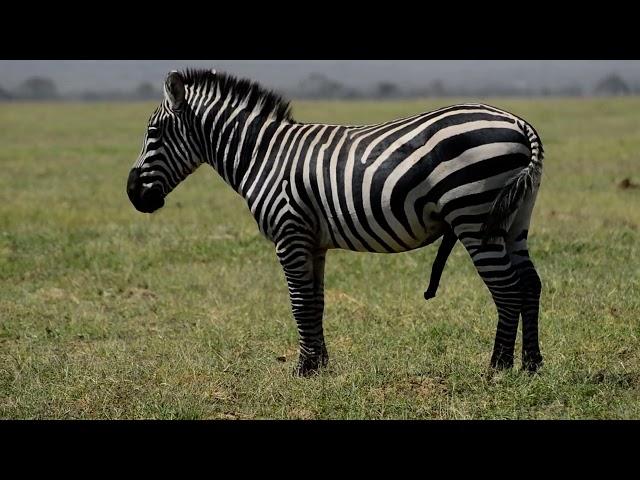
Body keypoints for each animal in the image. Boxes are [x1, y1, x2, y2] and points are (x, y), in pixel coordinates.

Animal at [126, 69, 544, 376]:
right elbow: (316, 301)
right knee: (529, 284)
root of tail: (519, 123)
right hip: (514, 220)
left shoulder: (289, 232)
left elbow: (298, 302)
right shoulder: (313, 241)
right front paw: (319, 365)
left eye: (153, 133)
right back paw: (531, 365)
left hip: (474, 216)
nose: (132, 194)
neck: (262, 155)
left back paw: (498, 368)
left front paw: (302, 368)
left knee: (507, 288)